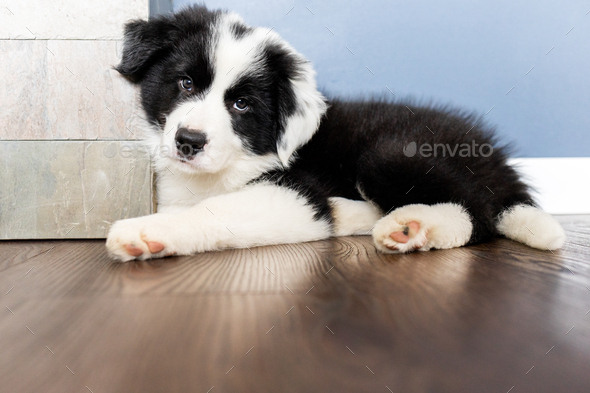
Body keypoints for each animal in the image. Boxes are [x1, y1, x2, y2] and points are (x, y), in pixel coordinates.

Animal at [105, 4, 564, 260]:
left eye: (241, 105)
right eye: (185, 83)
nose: (189, 141)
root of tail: (492, 151)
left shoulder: (297, 193)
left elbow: (216, 211)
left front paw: (146, 233)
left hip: (392, 153)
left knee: (479, 213)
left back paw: (413, 227)